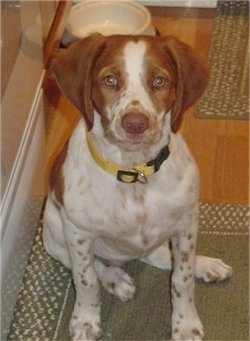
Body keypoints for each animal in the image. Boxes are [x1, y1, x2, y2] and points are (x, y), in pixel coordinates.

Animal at [43, 35, 232, 340]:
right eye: (109, 80)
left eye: (159, 81)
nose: (134, 124)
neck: (134, 172)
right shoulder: (78, 233)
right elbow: (85, 279)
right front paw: (85, 320)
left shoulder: (186, 222)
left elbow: (182, 277)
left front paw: (185, 323)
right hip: (54, 232)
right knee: (89, 264)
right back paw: (115, 279)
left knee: (162, 257)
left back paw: (205, 264)